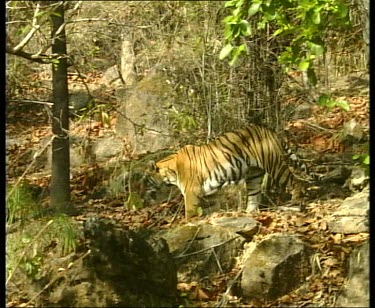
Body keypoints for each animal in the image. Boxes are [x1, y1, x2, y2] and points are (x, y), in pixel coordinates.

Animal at [148, 123, 316, 219]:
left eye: (146, 180)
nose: (147, 194)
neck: (172, 171)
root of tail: (269, 130)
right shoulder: (210, 192)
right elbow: (212, 208)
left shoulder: (191, 192)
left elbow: (189, 212)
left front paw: (188, 224)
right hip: (254, 175)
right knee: (254, 197)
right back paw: (248, 213)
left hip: (274, 166)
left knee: (296, 181)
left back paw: (295, 200)